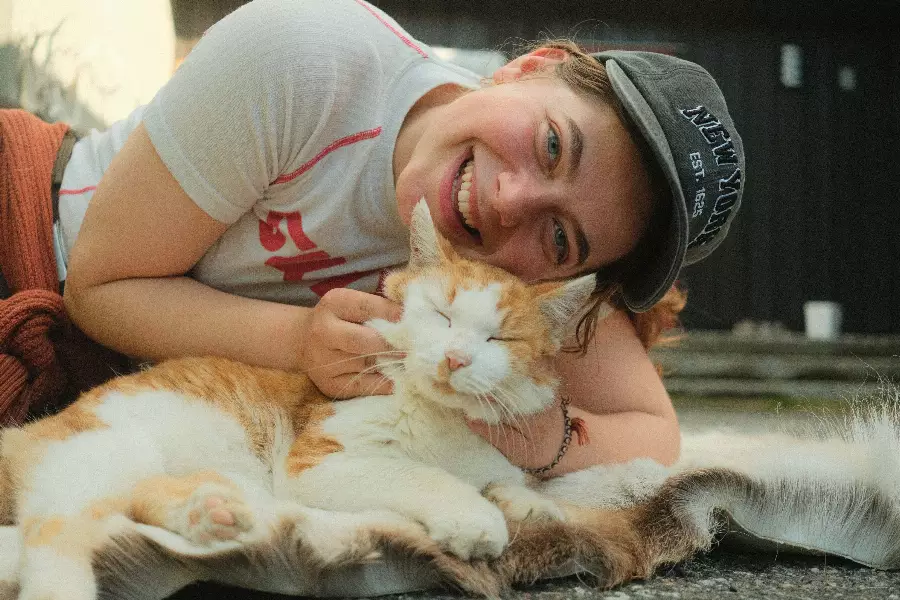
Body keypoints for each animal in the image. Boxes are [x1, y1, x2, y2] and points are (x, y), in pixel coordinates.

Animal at [0, 200, 596, 600]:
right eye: (441, 314)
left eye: (499, 339)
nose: (455, 358)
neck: (441, 420)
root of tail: (31, 428)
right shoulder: (318, 463)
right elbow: (420, 475)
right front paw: (475, 515)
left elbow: (511, 482)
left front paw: (526, 502)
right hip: (108, 450)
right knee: (54, 531)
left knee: (130, 505)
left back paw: (208, 514)